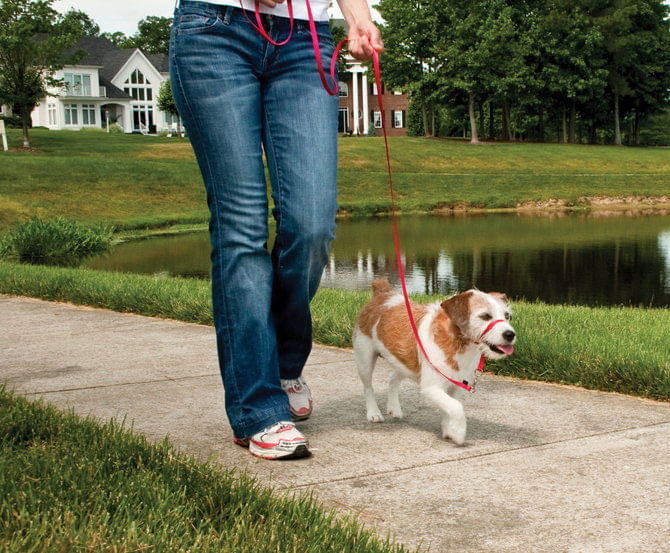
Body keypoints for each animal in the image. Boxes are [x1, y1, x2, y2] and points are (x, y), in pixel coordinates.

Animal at [354, 276, 516, 444]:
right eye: (485, 316)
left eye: (507, 316)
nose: (510, 334)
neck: (457, 342)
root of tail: (383, 293)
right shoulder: (431, 387)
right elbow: (456, 407)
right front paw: (458, 432)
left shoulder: (456, 386)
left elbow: (450, 407)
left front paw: (449, 429)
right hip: (364, 359)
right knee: (368, 387)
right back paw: (373, 413)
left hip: (405, 362)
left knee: (392, 378)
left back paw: (394, 408)